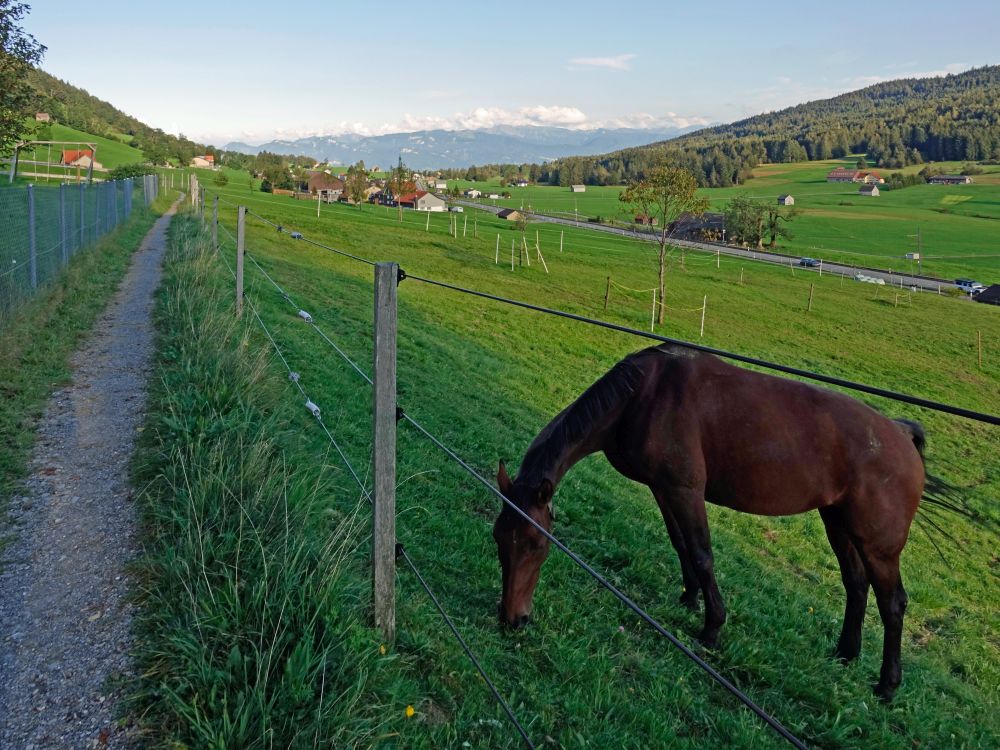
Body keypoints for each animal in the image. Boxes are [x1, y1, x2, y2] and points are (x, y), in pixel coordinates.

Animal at [496, 344, 924, 704]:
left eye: (536, 543)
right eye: (499, 540)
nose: (513, 619)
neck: (643, 397)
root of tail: (902, 435)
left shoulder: (685, 490)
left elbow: (702, 554)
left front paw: (712, 627)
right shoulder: (663, 488)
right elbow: (680, 543)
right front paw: (689, 598)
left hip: (878, 546)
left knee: (892, 603)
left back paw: (887, 685)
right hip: (838, 523)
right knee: (856, 584)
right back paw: (845, 654)